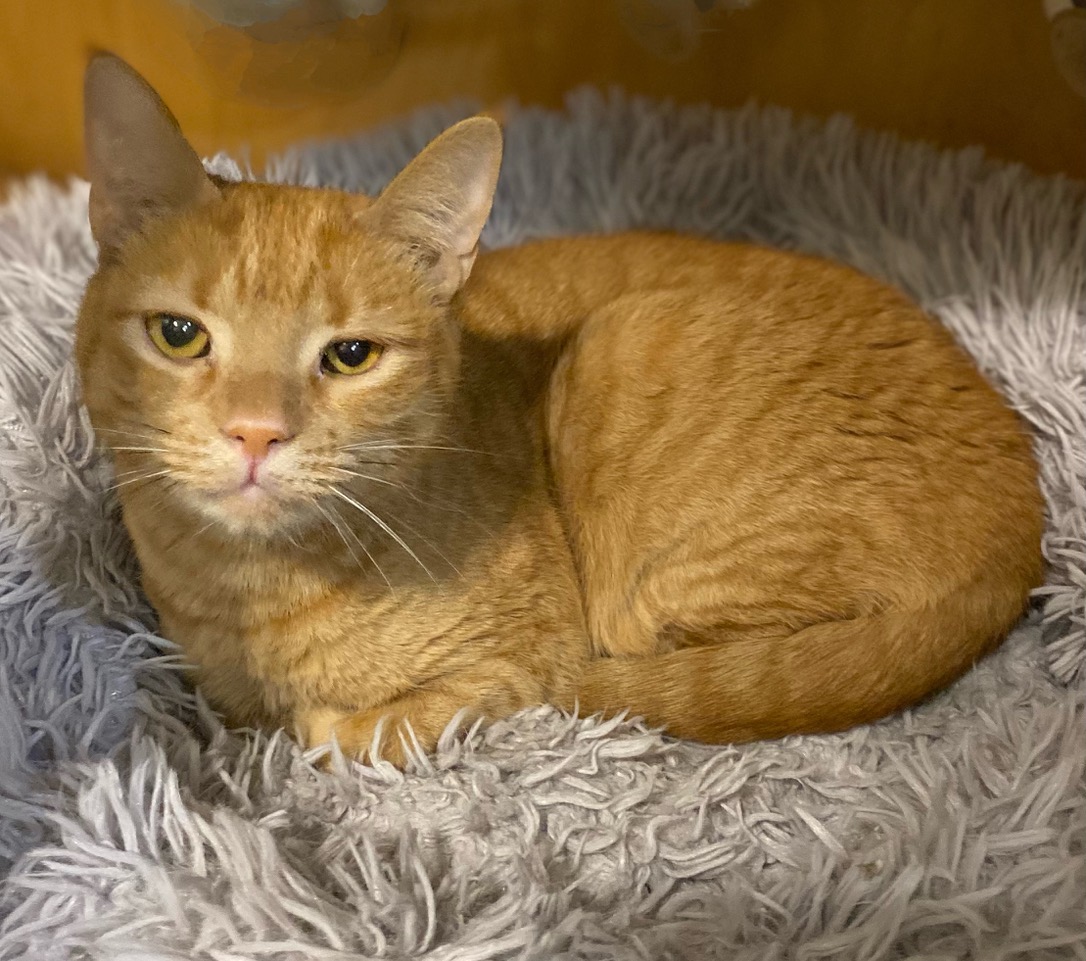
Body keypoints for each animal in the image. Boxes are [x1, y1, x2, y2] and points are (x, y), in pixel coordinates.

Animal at [77, 54, 1045, 767]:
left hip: (623, 359)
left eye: (351, 355)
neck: (253, 596)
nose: (255, 432)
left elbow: (375, 727)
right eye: (179, 335)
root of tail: (1027, 530)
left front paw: (331, 725)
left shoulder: (514, 663)